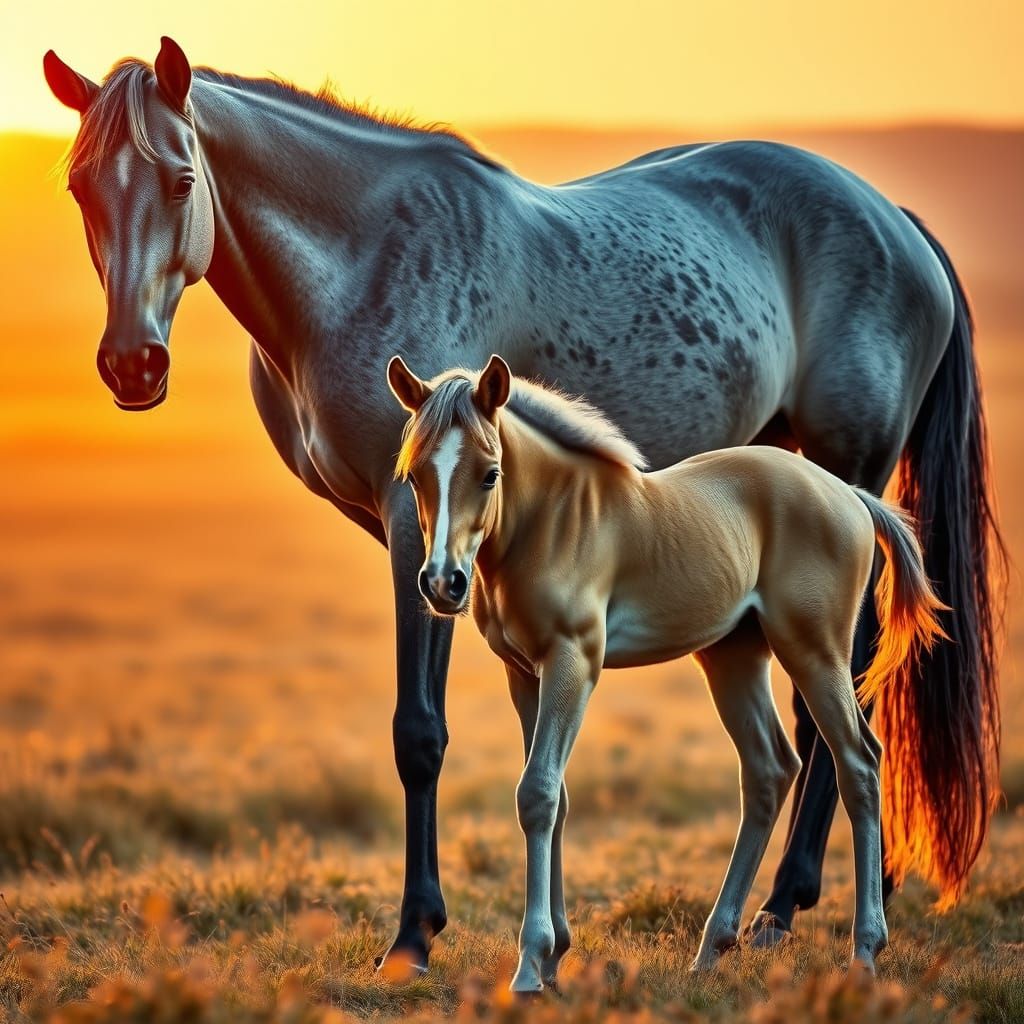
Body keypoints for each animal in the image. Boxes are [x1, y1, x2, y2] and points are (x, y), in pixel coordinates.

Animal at [386, 353, 944, 989]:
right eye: (416, 477)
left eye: (489, 474)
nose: (442, 584)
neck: (551, 519)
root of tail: (849, 494)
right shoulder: (524, 673)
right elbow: (555, 797)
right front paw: (554, 960)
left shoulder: (573, 661)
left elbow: (538, 793)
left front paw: (531, 966)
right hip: (734, 657)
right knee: (770, 769)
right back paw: (712, 950)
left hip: (815, 651)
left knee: (859, 763)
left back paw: (864, 952)